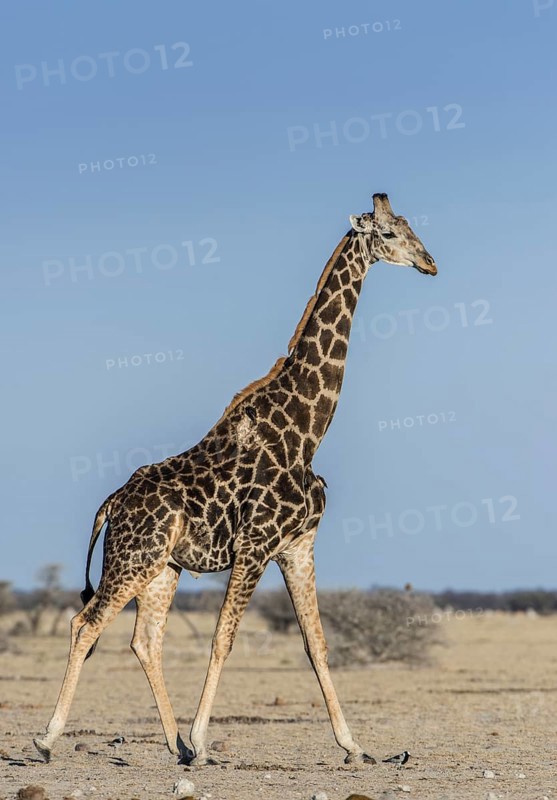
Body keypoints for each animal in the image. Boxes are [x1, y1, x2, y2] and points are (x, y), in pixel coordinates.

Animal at [34, 192, 437, 767]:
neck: (306, 433)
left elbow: (316, 642)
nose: (429, 262)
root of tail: (111, 504)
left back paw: (174, 744)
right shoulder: (254, 545)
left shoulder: (298, 545)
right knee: (85, 623)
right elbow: (223, 638)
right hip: (132, 560)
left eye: (409, 226)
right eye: (387, 233)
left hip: (163, 568)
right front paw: (204, 740)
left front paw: (354, 746)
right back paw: (49, 739)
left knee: (144, 640)